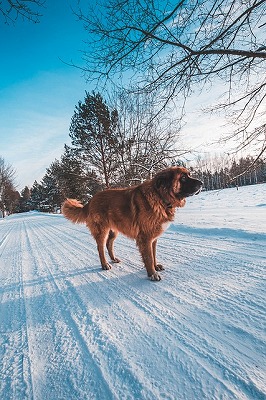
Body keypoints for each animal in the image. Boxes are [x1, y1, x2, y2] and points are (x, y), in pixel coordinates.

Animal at [61, 166, 202, 282]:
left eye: (189, 175)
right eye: (183, 178)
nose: (201, 183)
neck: (160, 197)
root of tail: (91, 200)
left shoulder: (153, 238)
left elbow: (153, 254)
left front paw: (155, 266)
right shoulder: (145, 238)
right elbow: (149, 257)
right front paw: (152, 274)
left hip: (114, 231)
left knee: (109, 244)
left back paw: (113, 258)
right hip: (102, 230)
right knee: (100, 247)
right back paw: (105, 264)